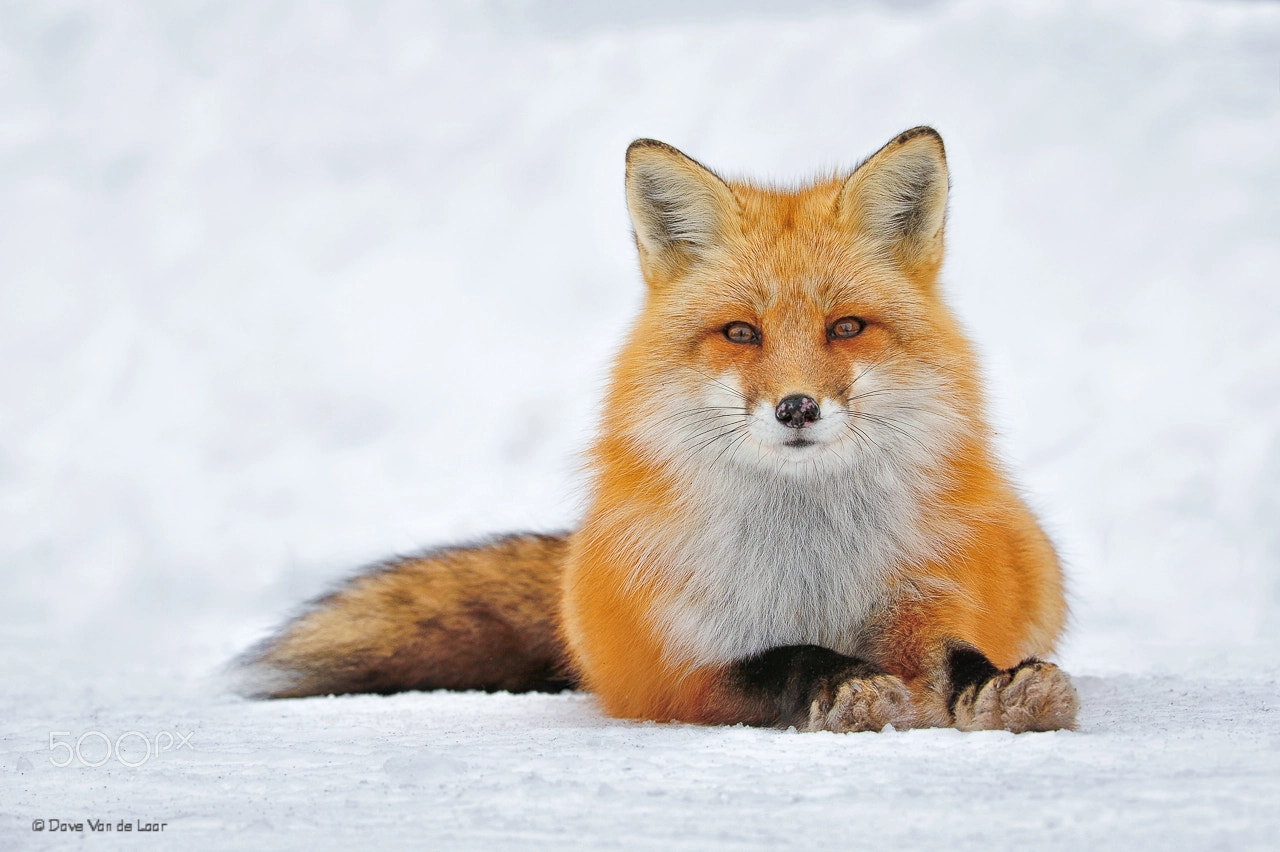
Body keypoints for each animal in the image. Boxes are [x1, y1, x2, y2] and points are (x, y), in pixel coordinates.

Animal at [238, 127, 1078, 733]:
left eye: (846, 327)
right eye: (741, 333)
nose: (797, 408)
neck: (811, 564)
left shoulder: (930, 602)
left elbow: (961, 656)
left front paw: (1005, 686)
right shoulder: (680, 666)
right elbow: (785, 659)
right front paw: (840, 684)